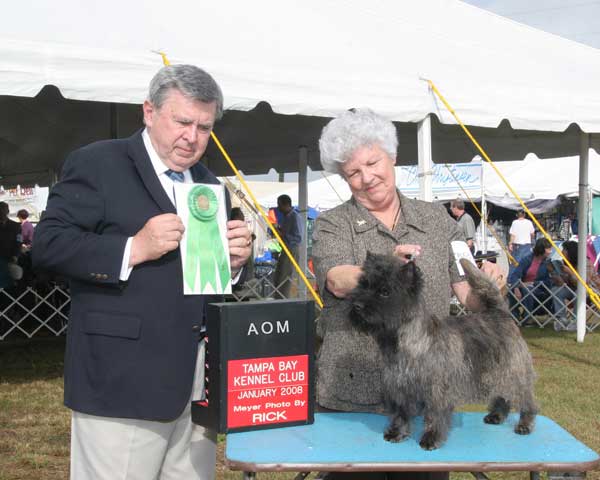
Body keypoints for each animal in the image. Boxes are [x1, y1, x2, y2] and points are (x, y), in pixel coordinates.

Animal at [348, 252, 537, 450]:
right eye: (363, 285)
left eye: (385, 292)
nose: (357, 305)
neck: (406, 339)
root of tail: (500, 314)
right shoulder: (399, 387)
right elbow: (401, 414)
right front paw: (397, 433)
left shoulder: (437, 390)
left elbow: (434, 415)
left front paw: (431, 438)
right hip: (494, 373)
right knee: (503, 395)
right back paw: (497, 416)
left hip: (513, 371)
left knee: (524, 397)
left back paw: (525, 424)